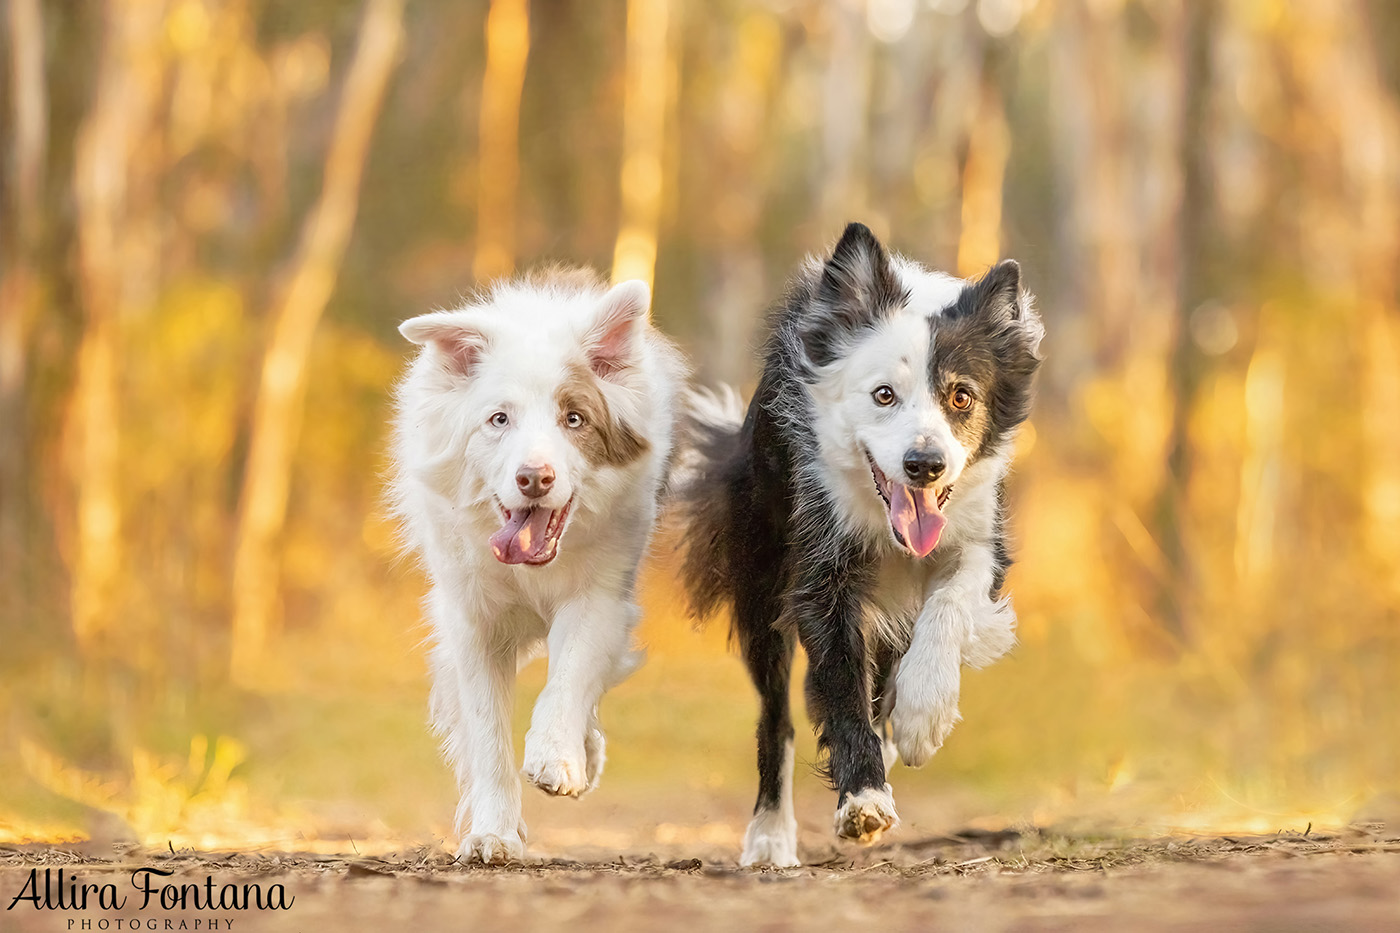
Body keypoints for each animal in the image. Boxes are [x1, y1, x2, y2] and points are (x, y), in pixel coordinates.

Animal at [392, 264, 686, 862]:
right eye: (498, 419)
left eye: (574, 418)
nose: (534, 478)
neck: (530, 569)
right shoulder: (471, 621)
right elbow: (487, 735)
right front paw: (494, 835)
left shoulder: (600, 595)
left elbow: (568, 677)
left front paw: (557, 759)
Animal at [677, 224, 1041, 862]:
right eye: (883, 395)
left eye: (962, 397)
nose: (924, 464)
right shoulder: (823, 566)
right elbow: (842, 683)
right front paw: (864, 798)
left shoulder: (980, 538)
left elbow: (949, 605)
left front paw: (922, 718)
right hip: (760, 579)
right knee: (775, 715)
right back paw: (770, 836)